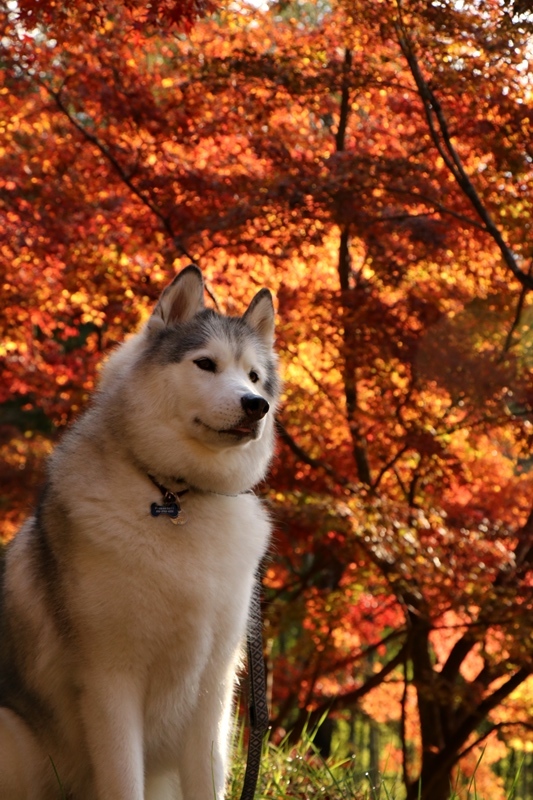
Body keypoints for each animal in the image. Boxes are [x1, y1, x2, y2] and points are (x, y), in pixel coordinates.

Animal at [0, 268, 280, 800]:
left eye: (254, 376)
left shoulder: (213, 690)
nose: (256, 405)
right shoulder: (111, 680)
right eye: (206, 364)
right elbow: (123, 779)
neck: (176, 497)